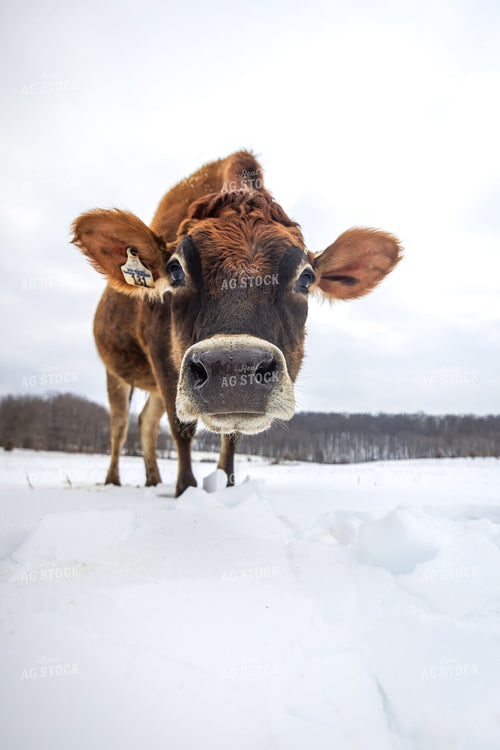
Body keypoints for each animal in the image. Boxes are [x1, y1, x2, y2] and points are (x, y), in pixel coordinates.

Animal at [72, 150, 401, 496]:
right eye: (175, 270)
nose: (233, 368)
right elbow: (181, 428)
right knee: (120, 425)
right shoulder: (160, 353)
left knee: (146, 421)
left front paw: (226, 484)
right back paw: (113, 480)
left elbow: (231, 437)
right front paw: (185, 490)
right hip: (117, 373)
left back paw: (152, 480)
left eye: (306, 277)